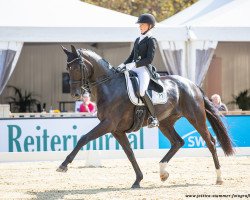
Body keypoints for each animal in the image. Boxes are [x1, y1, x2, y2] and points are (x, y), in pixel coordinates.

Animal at [57, 45, 234, 188]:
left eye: (78, 67)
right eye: (67, 66)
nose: (75, 94)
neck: (109, 86)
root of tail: (192, 84)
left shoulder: (108, 124)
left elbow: (84, 138)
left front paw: (63, 165)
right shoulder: (116, 130)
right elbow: (129, 153)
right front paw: (138, 180)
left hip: (196, 117)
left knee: (210, 142)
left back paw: (219, 178)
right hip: (165, 123)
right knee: (178, 142)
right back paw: (163, 172)